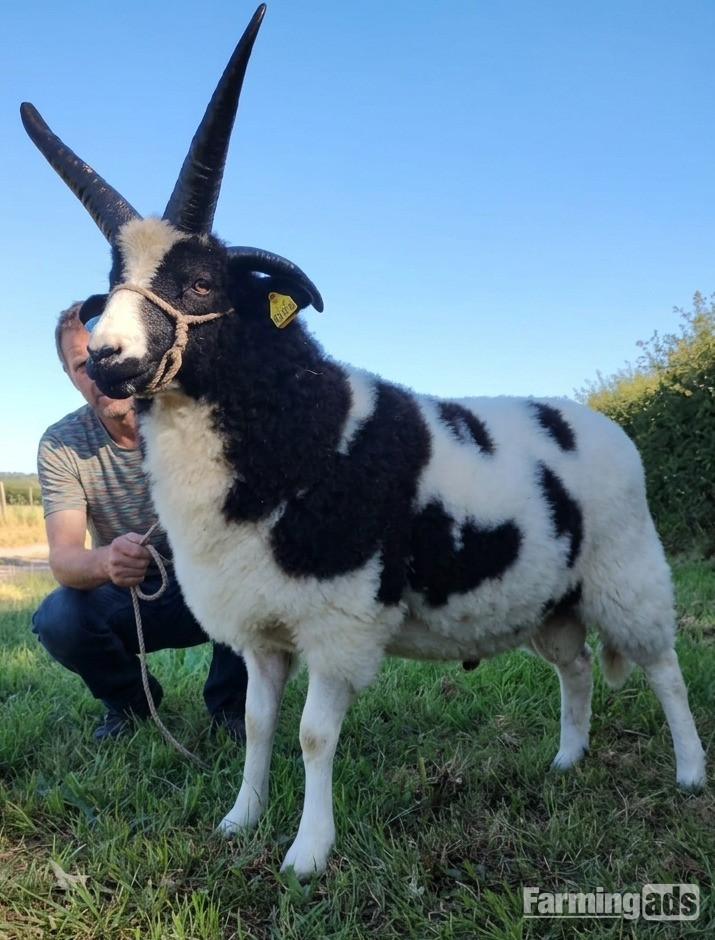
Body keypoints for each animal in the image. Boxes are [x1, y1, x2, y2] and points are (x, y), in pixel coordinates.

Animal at [21, 3, 705, 880]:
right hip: (551, 598)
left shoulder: (338, 624)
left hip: (629, 576)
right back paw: (565, 762)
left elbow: (314, 736)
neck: (297, 426)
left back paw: (687, 773)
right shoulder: (260, 631)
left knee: (664, 670)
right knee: (577, 668)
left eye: (202, 282)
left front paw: (307, 855)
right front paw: (239, 821)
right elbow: (257, 726)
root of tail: (595, 420)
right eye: (110, 283)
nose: (106, 359)